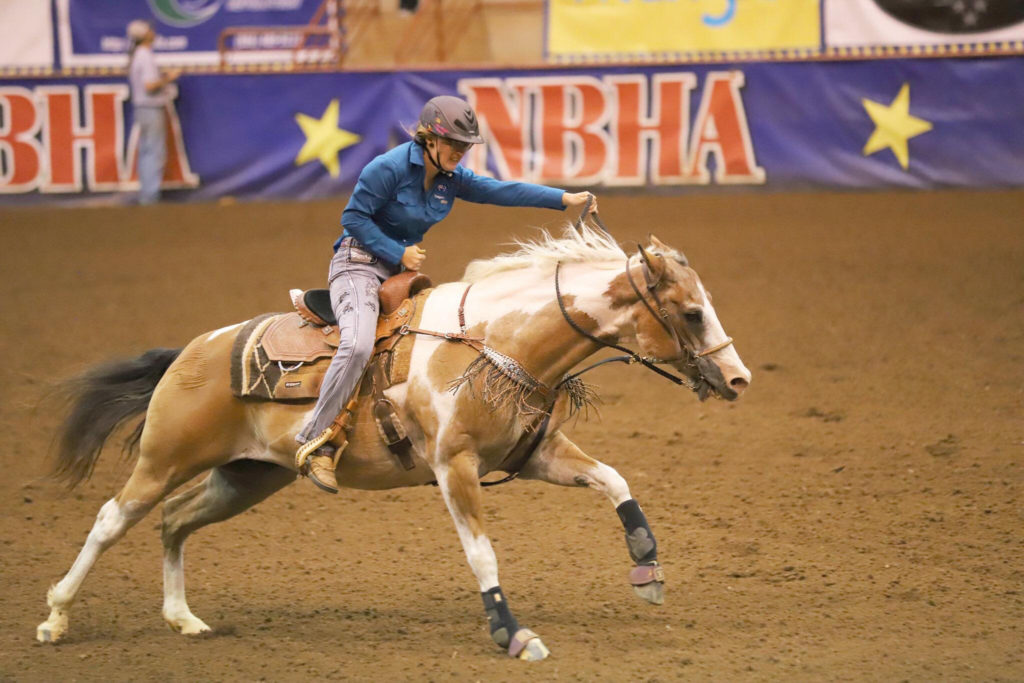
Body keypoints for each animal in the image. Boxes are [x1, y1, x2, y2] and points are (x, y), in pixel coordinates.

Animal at [36, 225, 749, 663]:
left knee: (176, 520)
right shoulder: (454, 468)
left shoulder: (536, 456)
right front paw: (512, 634)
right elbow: (482, 554)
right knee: (112, 519)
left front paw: (648, 569)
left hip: (245, 477)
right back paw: (55, 618)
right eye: (691, 312)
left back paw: (183, 618)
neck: (497, 341)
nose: (738, 377)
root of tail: (192, 350)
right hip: (166, 458)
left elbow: (616, 480)